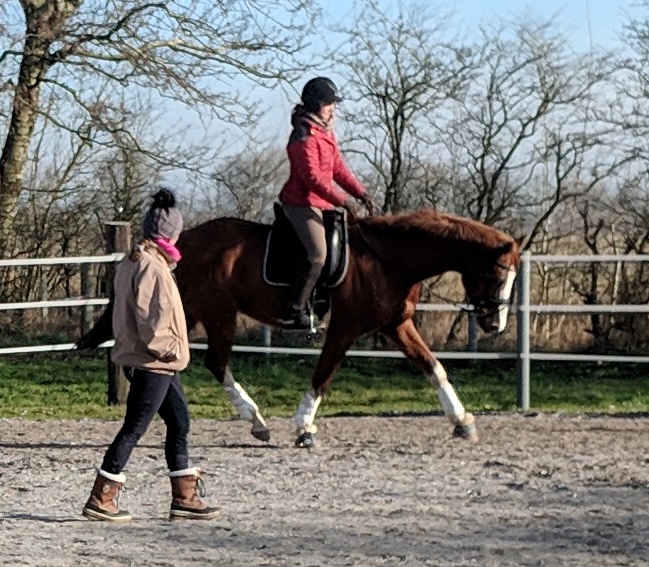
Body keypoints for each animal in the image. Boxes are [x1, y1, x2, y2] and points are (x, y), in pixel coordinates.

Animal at [77, 208, 523, 448]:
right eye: (498, 276)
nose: (495, 323)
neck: (387, 259)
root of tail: (185, 241)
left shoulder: (397, 325)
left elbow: (433, 366)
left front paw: (462, 422)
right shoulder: (345, 327)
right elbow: (323, 375)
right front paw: (305, 427)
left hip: (187, 313)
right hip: (218, 313)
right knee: (215, 363)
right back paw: (256, 421)